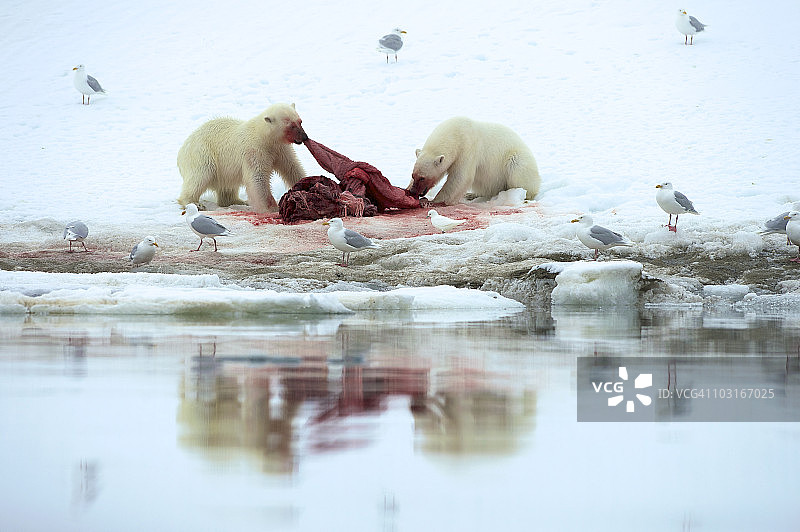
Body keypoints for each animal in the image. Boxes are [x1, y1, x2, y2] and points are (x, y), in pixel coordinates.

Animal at [177, 102, 308, 212]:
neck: (264, 137)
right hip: (202, 154)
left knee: (227, 186)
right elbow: (258, 178)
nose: (304, 137)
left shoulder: (280, 149)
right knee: (201, 175)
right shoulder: (255, 151)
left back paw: (239, 201)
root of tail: (182, 150)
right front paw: (271, 208)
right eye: (291, 125)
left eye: (300, 121)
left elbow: (292, 167)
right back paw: (195, 203)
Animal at [407, 117, 541, 205]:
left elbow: (461, 177)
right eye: (413, 175)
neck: (455, 133)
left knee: (518, 170)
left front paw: (434, 201)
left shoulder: (467, 148)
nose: (414, 191)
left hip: (516, 159)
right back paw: (471, 195)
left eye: (422, 178)